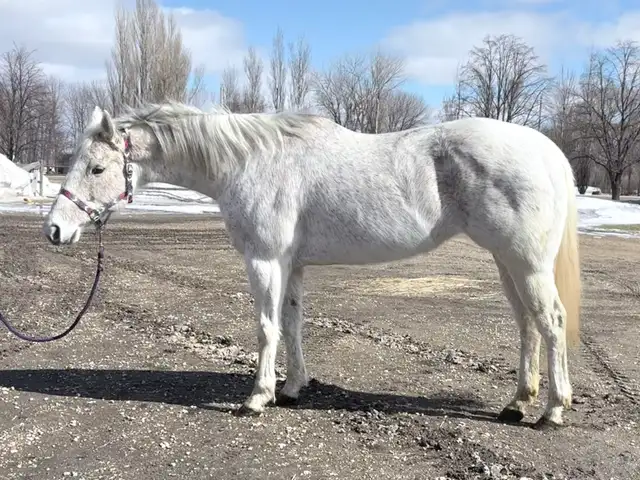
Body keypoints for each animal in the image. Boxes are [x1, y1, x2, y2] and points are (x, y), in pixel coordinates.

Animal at [42, 102, 580, 429]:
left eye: (97, 168)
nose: (55, 231)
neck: (249, 162)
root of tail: (547, 150)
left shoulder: (263, 260)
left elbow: (265, 328)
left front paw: (258, 397)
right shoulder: (292, 265)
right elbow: (293, 323)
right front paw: (294, 387)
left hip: (526, 262)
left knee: (551, 322)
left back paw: (553, 410)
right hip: (507, 262)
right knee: (526, 324)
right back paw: (518, 402)